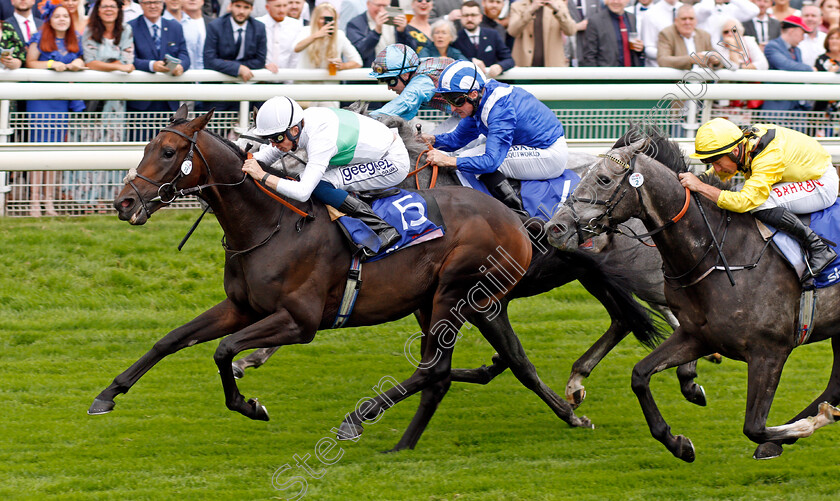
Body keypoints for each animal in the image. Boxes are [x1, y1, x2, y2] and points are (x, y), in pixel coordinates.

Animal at [87, 106, 604, 438]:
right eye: (148, 145)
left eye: (169, 152)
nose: (124, 202)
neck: (271, 224)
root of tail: (514, 219)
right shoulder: (241, 307)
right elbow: (170, 340)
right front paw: (108, 394)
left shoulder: (300, 321)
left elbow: (223, 350)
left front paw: (250, 405)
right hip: (454, 302)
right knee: (502, 360)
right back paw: (564, 410)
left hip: (456, 295)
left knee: (440, 366)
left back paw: (360, 418)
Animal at [544, 126, 840, 460]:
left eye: (604, 179)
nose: (555, 228)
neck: (720, 253)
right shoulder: (696, 334)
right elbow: (639, 375)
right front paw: (678, 443)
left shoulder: (770, 351)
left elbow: (754, 426)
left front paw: (811, 423)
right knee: (835, 384)